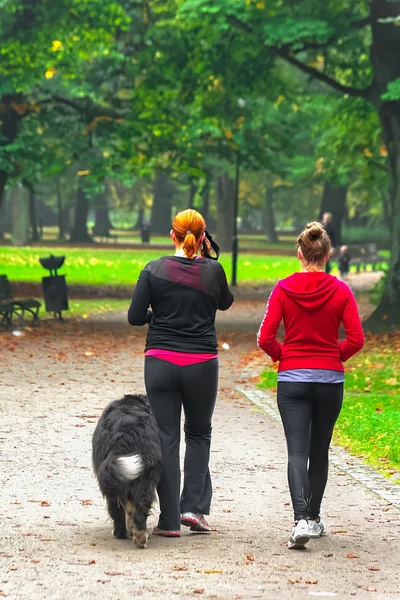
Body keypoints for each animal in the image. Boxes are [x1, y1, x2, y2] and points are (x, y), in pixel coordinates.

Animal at [92, 394, 162, 548]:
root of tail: (127, 432)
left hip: (112, 479)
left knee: (117, 509)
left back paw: (120, 533)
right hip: (145, 475)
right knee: (142, 503)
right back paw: (140, 534)